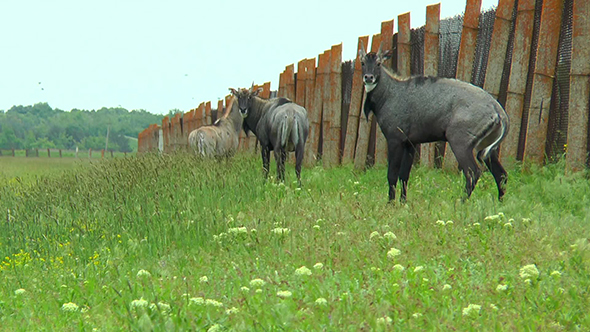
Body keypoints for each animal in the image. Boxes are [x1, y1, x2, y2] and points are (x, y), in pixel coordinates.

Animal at [358, 45, 512, 202]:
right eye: (362, 63)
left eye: (378, 63)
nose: (369, 77)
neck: (390, 92)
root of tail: (497, 109)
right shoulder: (410, 144)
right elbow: (404, 176)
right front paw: (403, 203)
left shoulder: (395, 140)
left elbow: (392, 175)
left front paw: (390, 204)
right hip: (485, 147)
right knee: (501, 174)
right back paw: (499, 203)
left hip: (460, 143)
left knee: (473, 172)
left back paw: (461, 203)